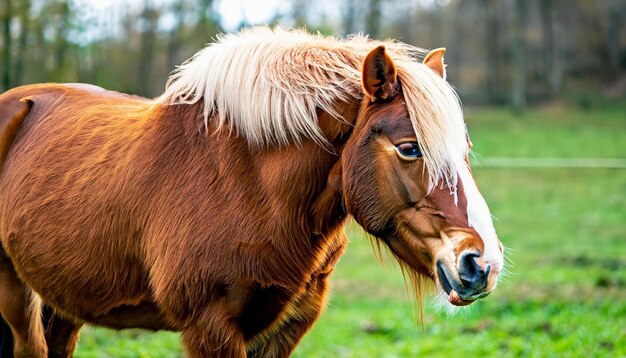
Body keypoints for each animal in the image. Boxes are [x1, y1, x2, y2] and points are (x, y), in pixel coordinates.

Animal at [0, 27, 502, 356]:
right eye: (409, 147)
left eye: (465, 150)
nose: (482, 265)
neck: (247, 186)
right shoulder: (212, 327)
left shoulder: (285, 327)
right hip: (17, 294)